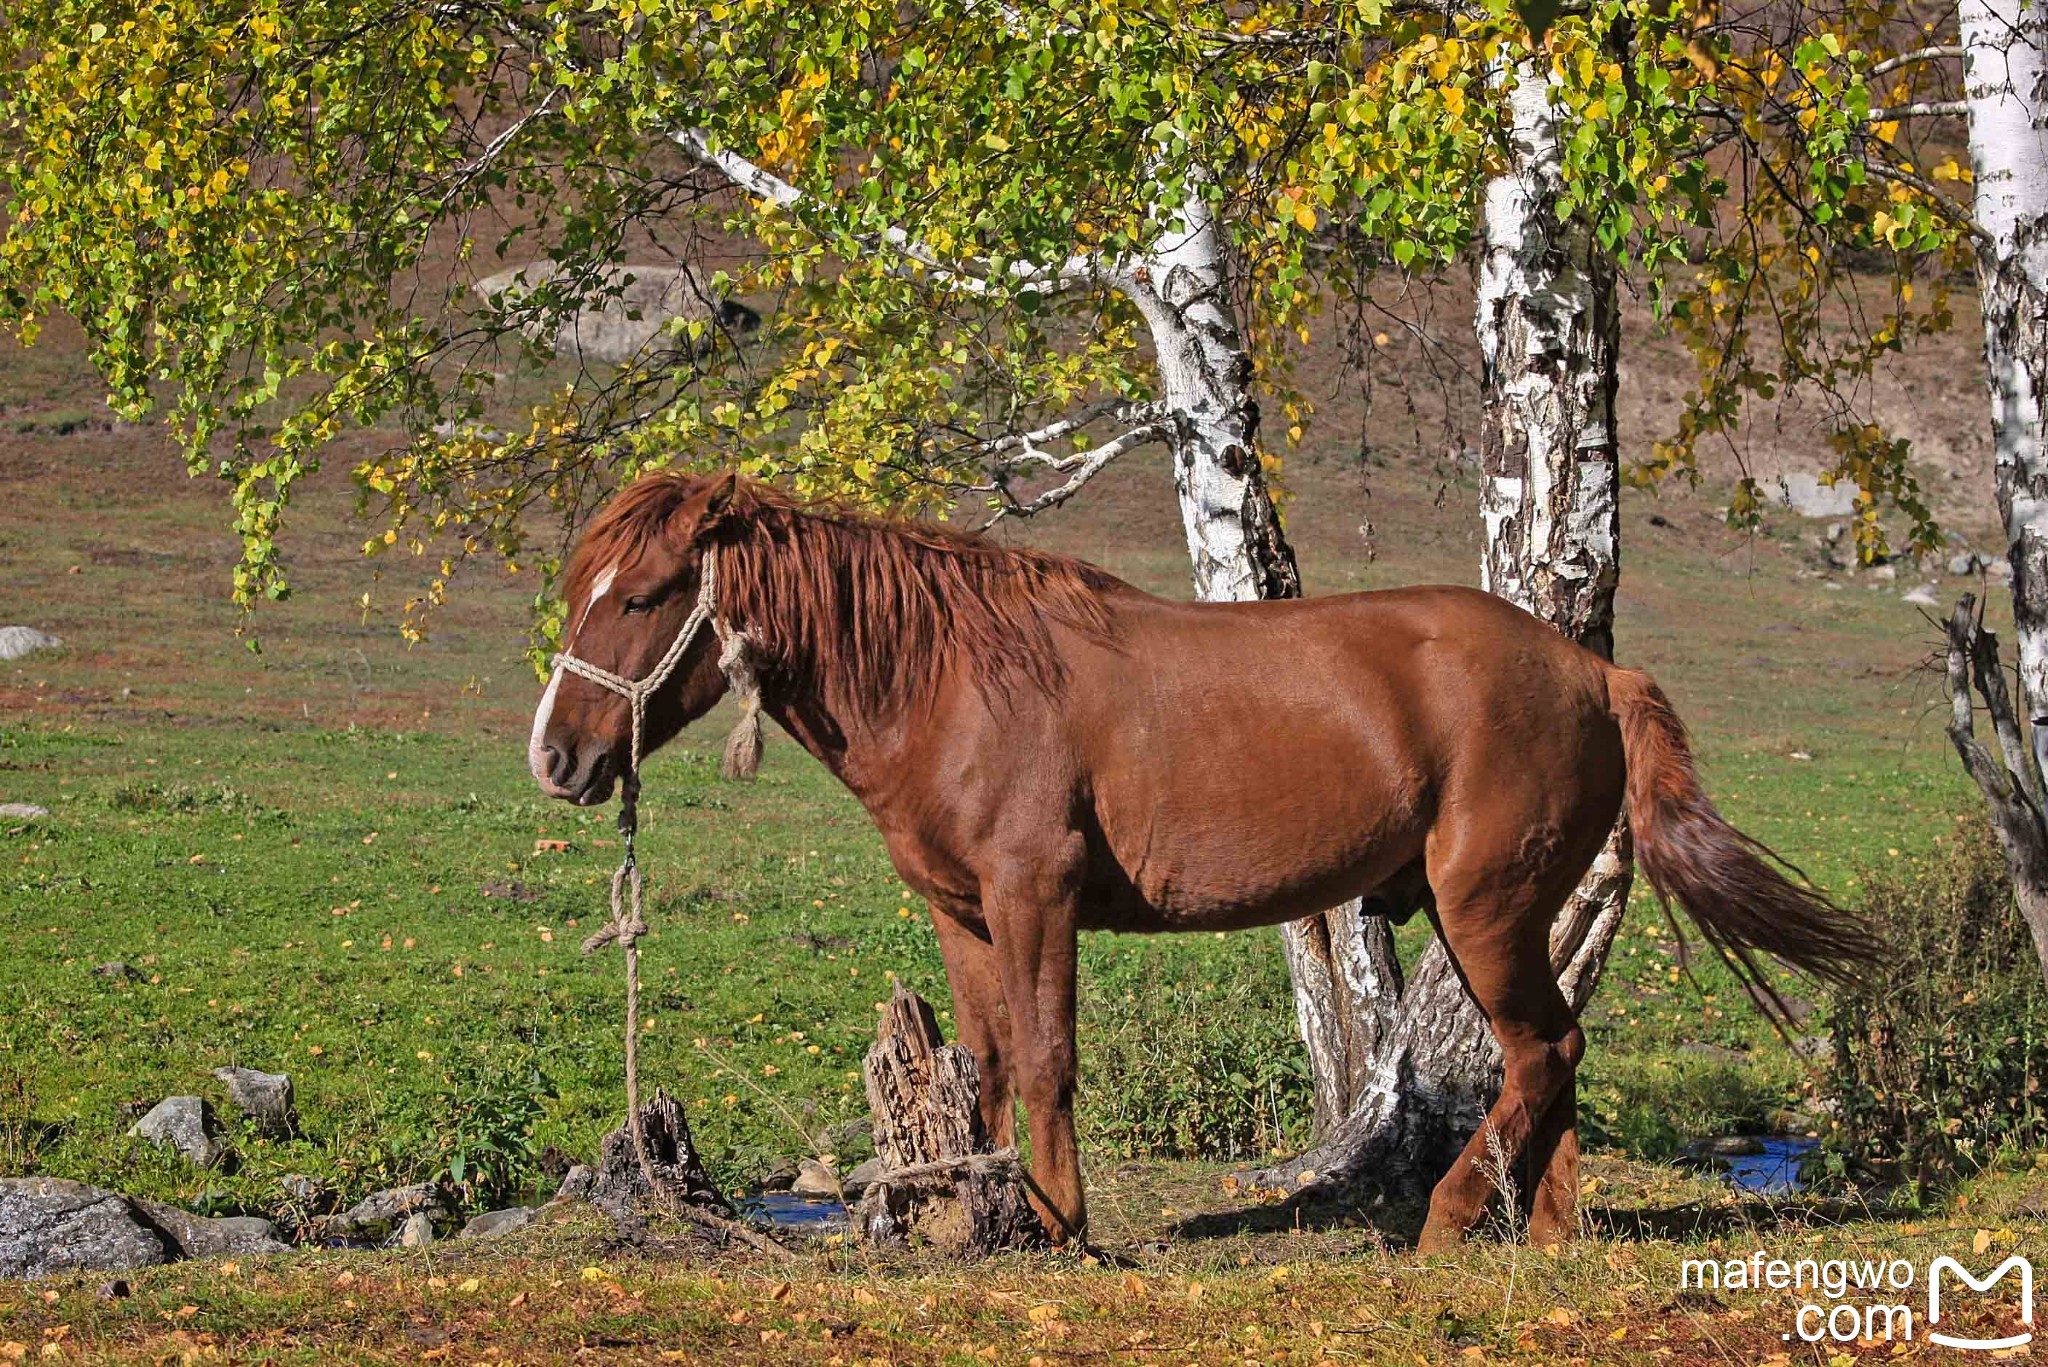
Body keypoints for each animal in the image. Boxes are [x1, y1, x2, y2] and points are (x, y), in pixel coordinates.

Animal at [524, 471, 1875, 1254]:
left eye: (644, 594)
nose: (557, 756)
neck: (951, 680)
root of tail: (1591, 669)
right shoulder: (963, 914)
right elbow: (984, 1068)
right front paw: (974, 1214)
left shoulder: (1035, 897)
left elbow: (1049, 1059)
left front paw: (1060, 1225)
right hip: (1491, 911)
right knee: (1550, 1055)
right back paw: (1541, 1235)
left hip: (1483, 905)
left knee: (1543, 1049)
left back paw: (1447, 1222)